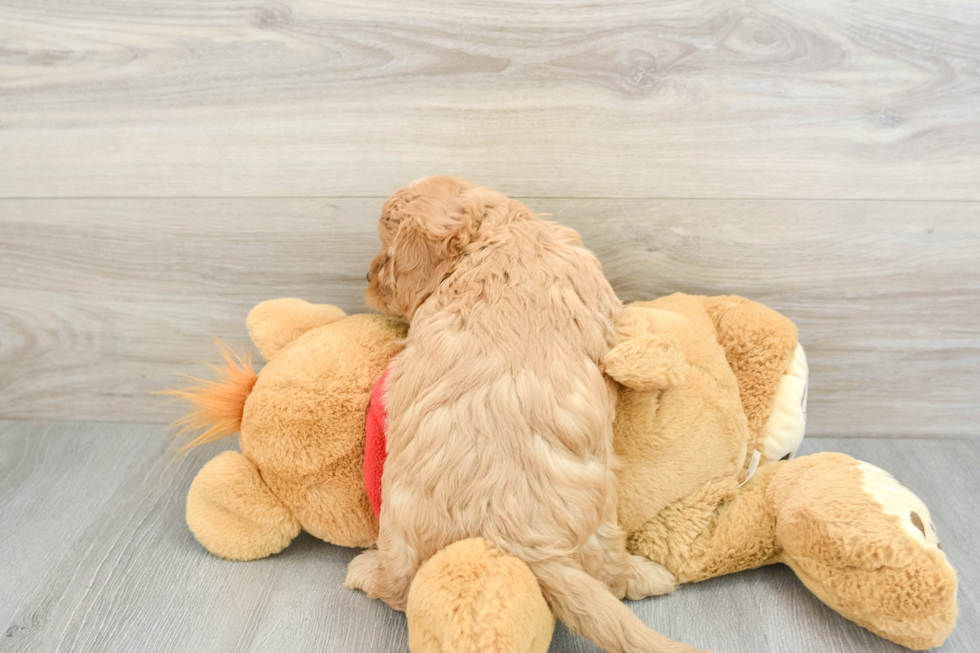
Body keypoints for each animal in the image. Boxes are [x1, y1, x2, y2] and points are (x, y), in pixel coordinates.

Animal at [344, 174, 696, 652]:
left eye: (388, 249)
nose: (366, 276)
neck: (495, 234)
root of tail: (516, 537)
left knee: (394, 587)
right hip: (602, 523)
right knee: (612, 578)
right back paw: (650, 574)